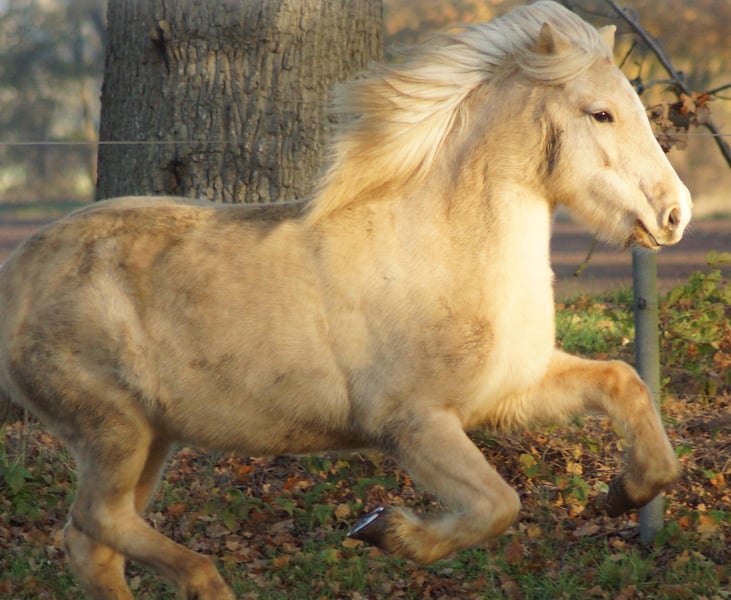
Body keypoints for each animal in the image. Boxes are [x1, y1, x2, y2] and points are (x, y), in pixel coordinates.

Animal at [0, 2, 692, 598]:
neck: (436, 250)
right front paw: (385, 530)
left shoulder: (509, 393)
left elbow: (623, 381)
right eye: (600, 114)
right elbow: (498, 505)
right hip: (112, 430)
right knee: (97, 521)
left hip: (152, 439)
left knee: (92, 542)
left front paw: (624, 494)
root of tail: (18, 269)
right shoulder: (413, 425)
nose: (675, 214)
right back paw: (208, 581)